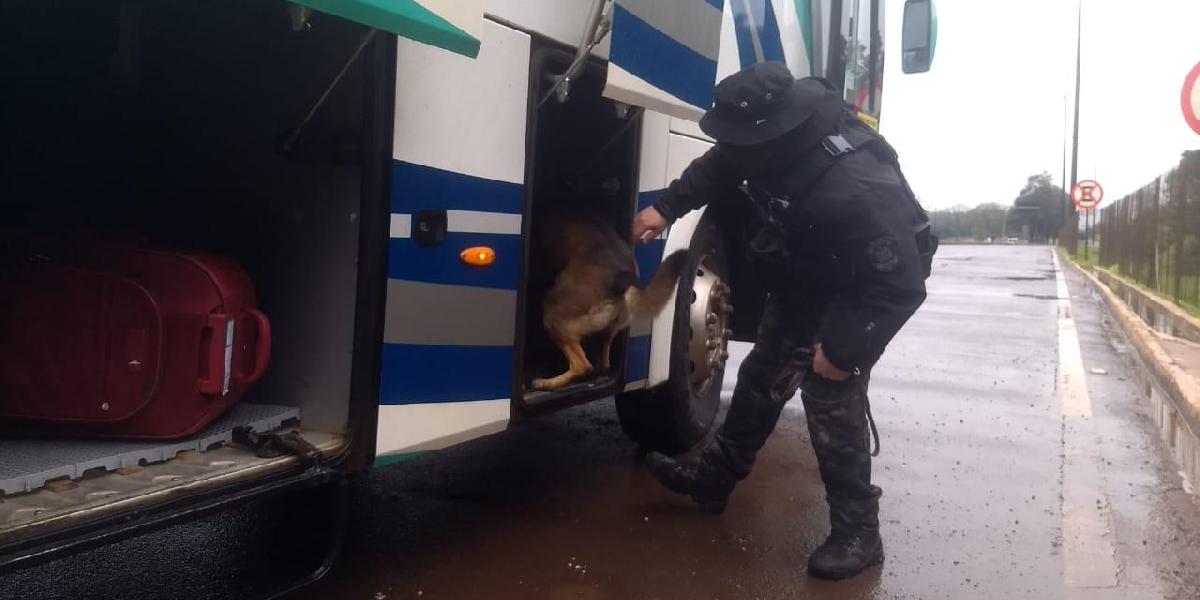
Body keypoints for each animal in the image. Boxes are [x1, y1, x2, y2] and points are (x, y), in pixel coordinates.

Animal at [532, 217, 691, 393]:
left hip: (554, 316)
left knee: (583, 366)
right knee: (604, 364)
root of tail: (621, 278)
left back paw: (547, 383)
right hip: (609, 328)